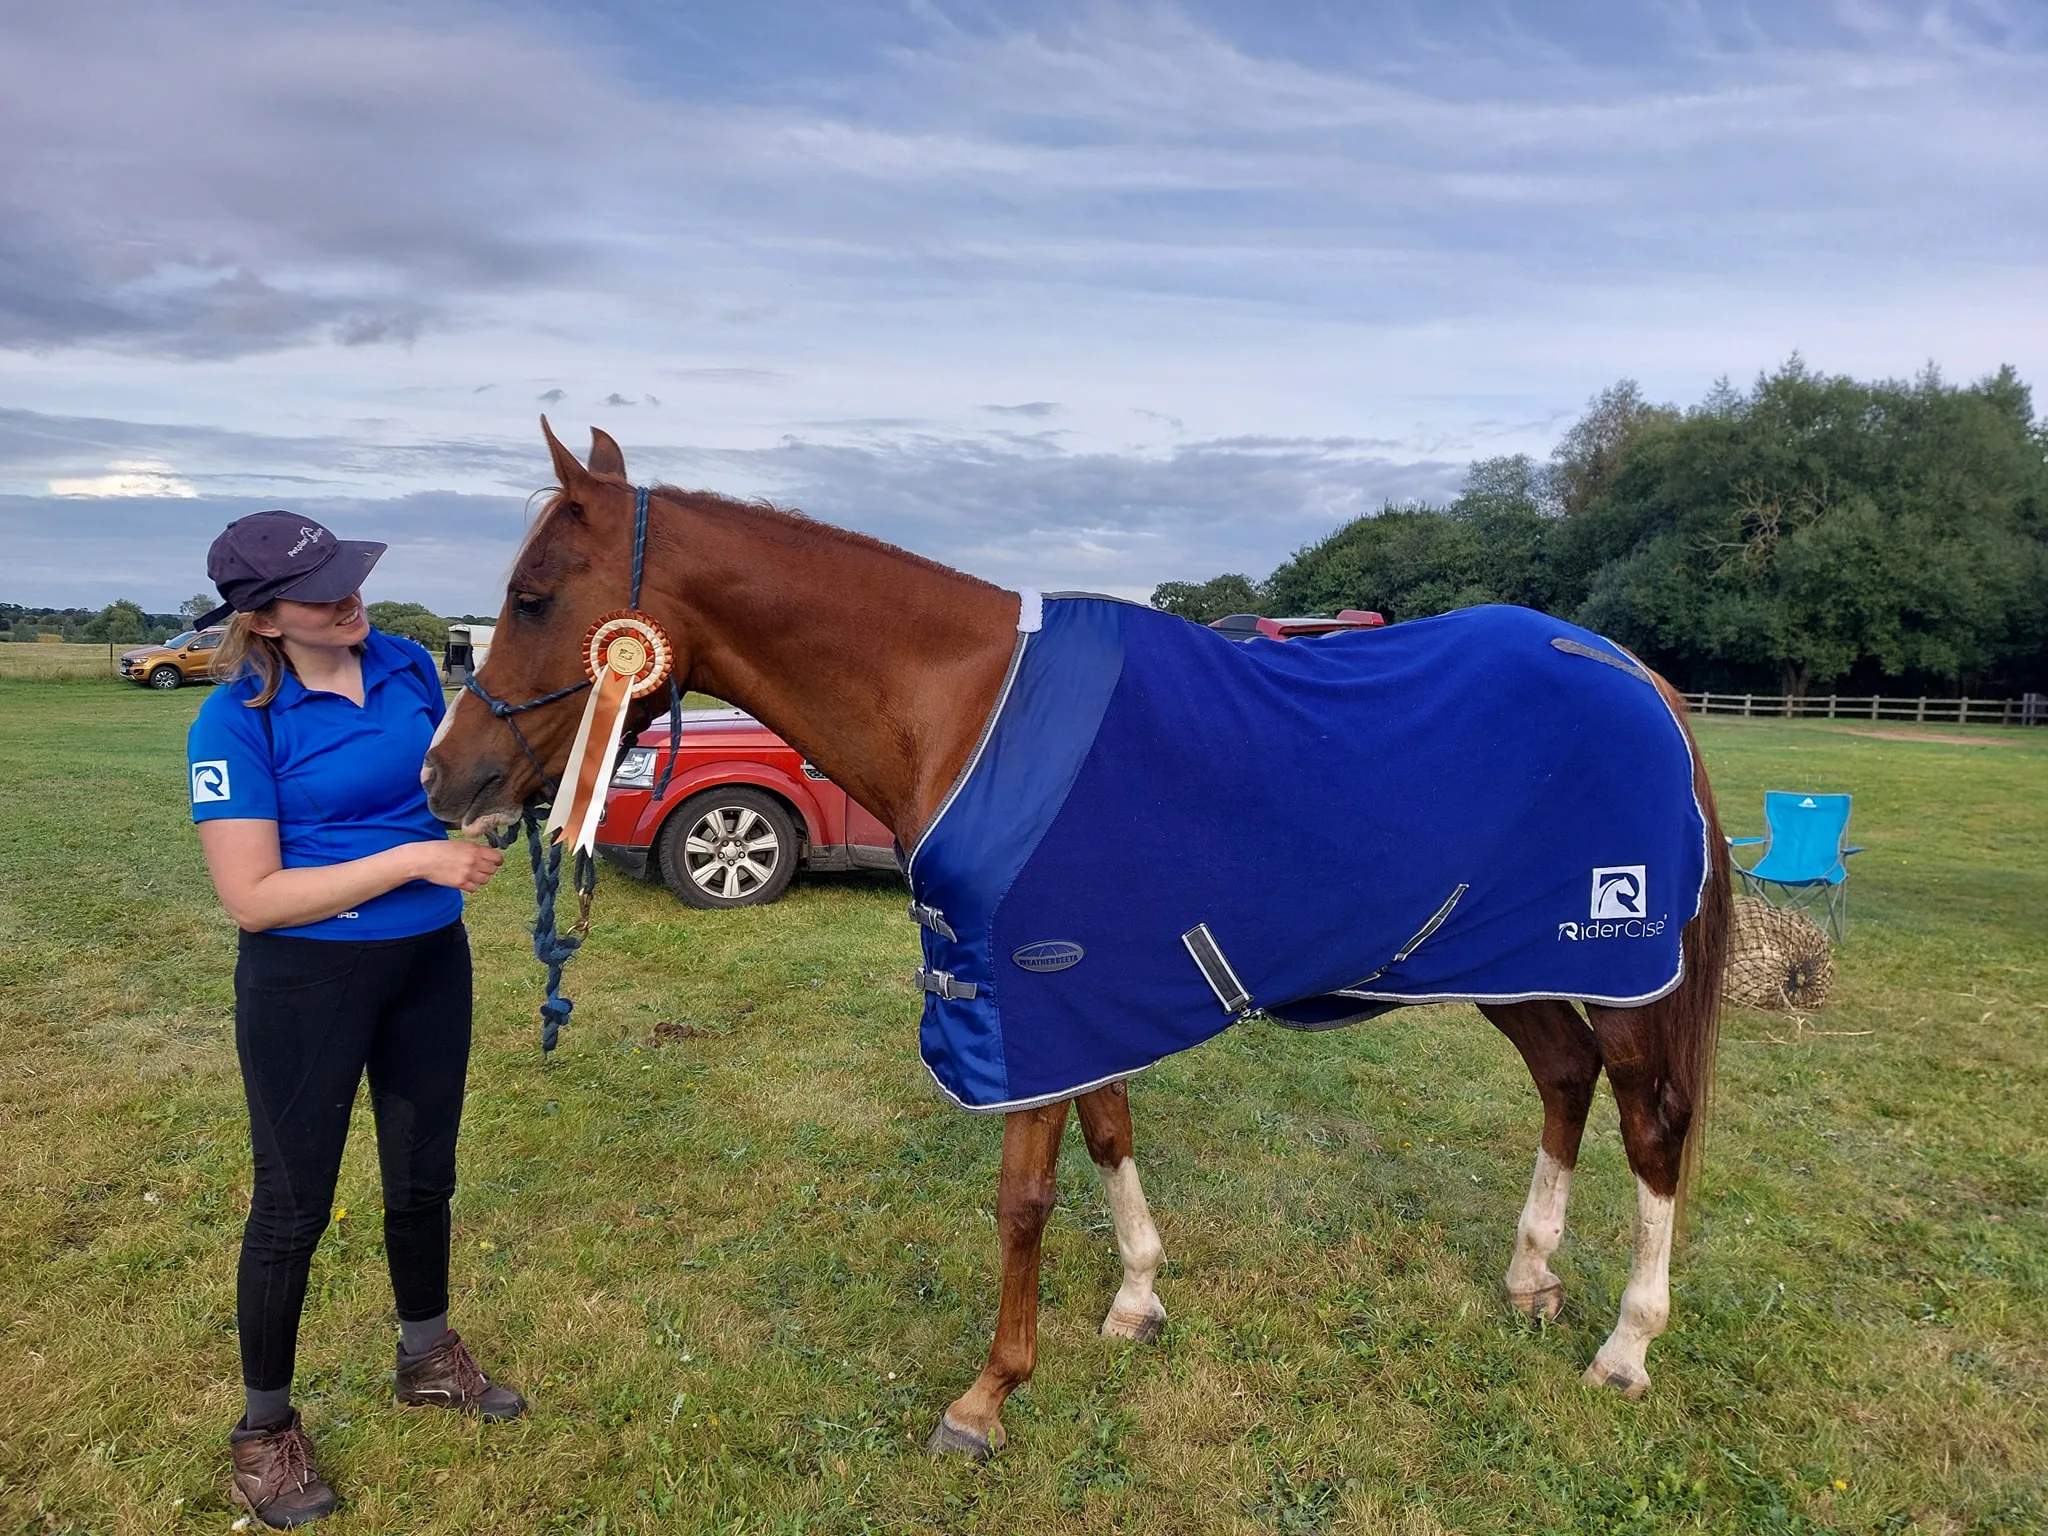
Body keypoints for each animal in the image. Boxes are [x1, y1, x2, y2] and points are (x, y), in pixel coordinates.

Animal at [424, 421, 1730, 1459]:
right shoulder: (1077, 990)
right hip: (1502, 957)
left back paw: (1625, 1345)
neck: (960, 704)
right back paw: (1529, 1275)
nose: (448, 779)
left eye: (533, 597)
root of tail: (1628, 670)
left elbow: (1024, 1197)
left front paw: (987, 1397)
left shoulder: (1029, 991)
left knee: (1650, 1124)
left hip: (1613, 962)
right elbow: (1108, 1135)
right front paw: (1136, 1297)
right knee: (1562, 1079)